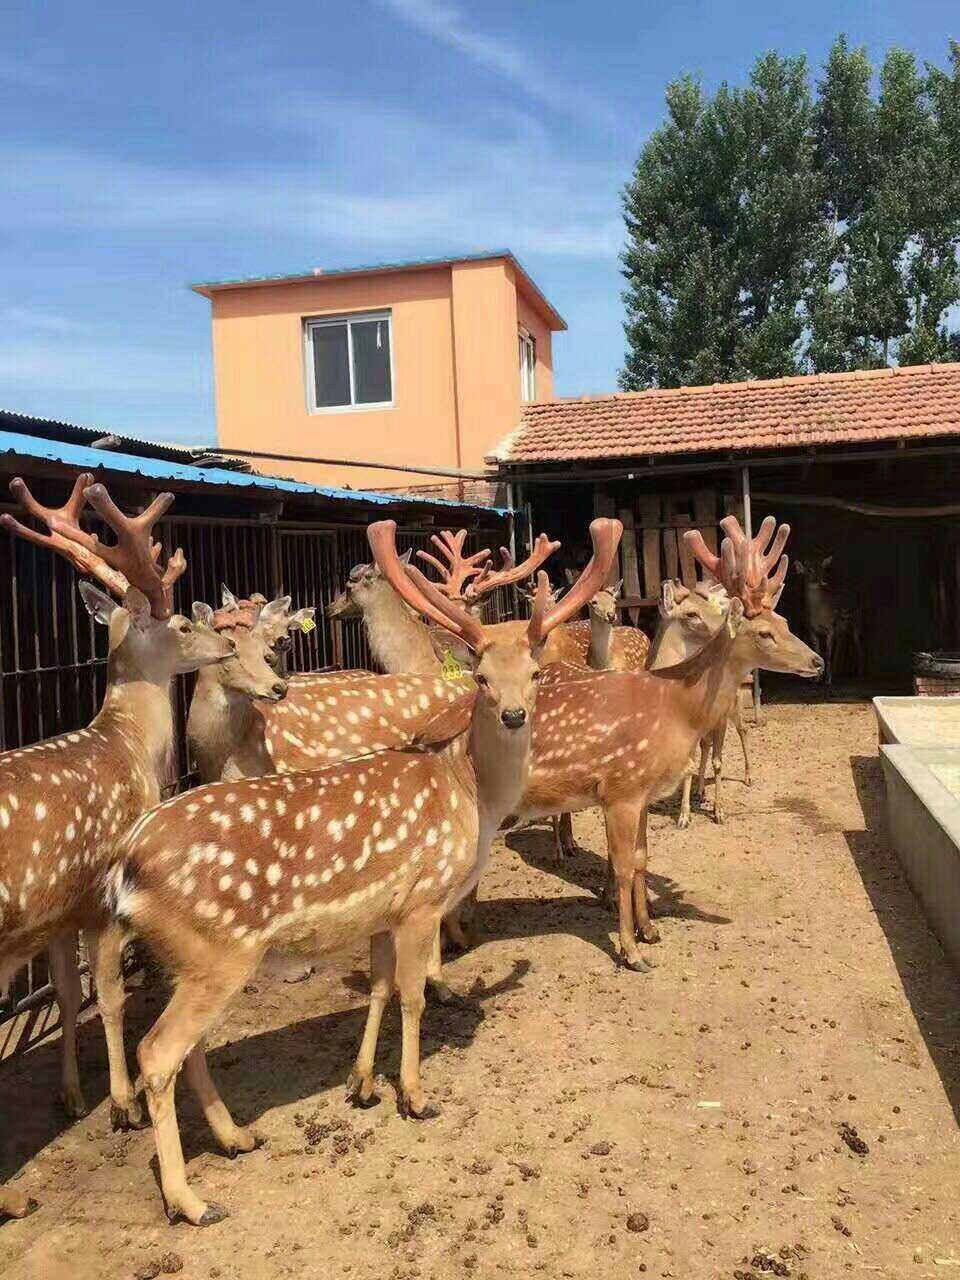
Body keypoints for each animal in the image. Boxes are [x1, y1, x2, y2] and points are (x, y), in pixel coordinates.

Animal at [0, 473, 235, 1218]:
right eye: (184, 623)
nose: (226, 646)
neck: (130, 747)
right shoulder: (103, 884)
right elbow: (106, 992)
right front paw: (121, 1104)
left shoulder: (56, 907)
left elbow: (66, 989)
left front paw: (72, 1096)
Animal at [103, 514, 616, 1223]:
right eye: (482, 676)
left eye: (536, 672)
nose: (514, 714)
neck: (468, 791)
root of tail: (125, 867)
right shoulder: (423, 899)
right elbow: (413, 994)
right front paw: (415, 1095)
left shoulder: (382, 911)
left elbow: (376, 988)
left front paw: (363, 1083)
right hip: (217, 950)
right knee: (156, 1052)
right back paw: (190, 1198)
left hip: (192, 960)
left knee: (188, 1048)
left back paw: (237, 1137)